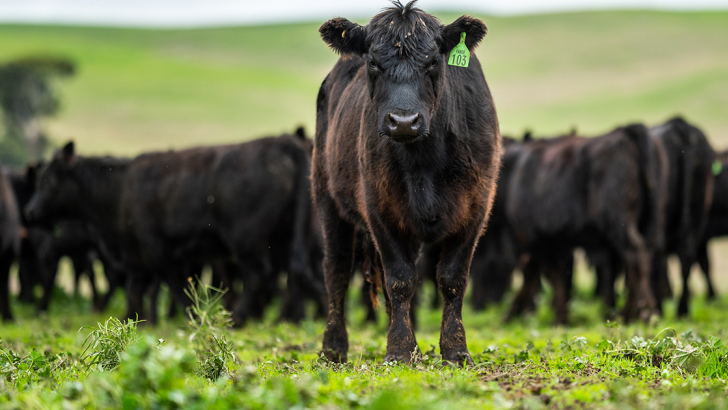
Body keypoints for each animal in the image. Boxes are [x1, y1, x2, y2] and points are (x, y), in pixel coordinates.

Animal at [312, 0, 500, 366]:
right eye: (373, 62)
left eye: (433, 61)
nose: (403, 121)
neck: (423, 163)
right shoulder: (379, 209)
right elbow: (399, 280)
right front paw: (399, 350)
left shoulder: (475, 208)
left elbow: (452, 278)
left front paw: (454, 350)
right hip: (328, 199)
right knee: (337, 271)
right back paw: (333, 348)